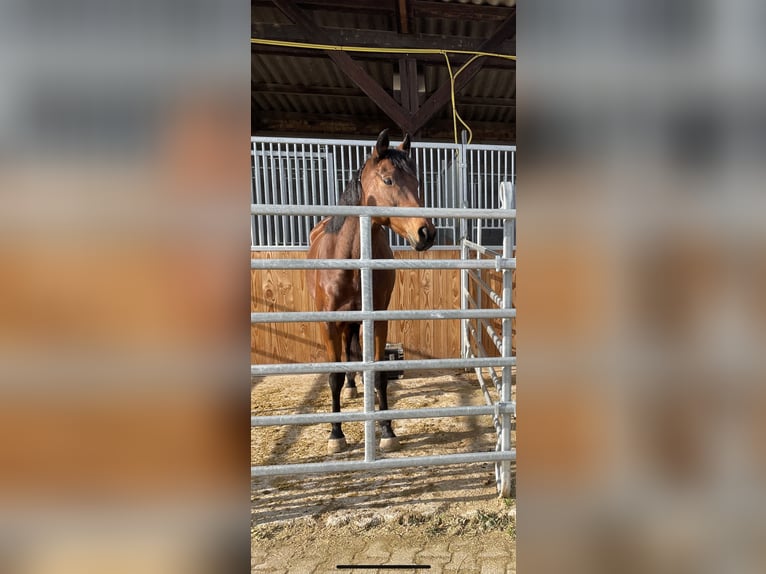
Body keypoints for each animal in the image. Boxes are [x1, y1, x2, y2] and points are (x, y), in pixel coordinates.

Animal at [308, 130, 438, 454]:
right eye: (388, 180)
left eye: (417, 182)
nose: (426, 232)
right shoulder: (329, 324)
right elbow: (333, 376)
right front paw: (336, 434)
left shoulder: (377, 319)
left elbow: (379, 373)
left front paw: (387, 430)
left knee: (354, 353)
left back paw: (357, 387)